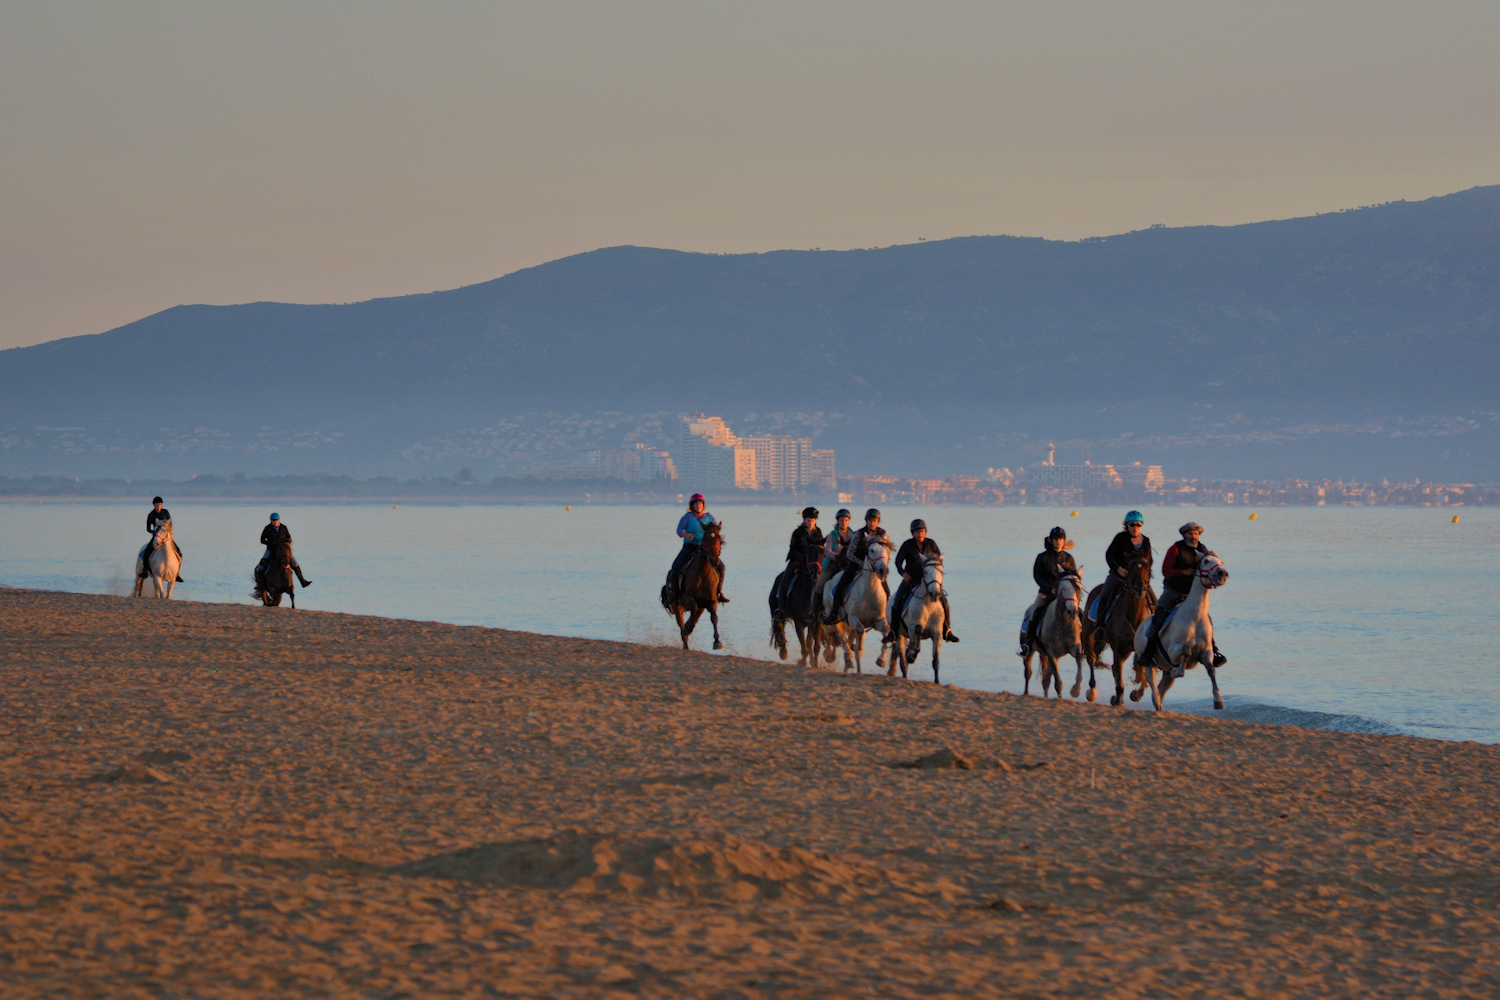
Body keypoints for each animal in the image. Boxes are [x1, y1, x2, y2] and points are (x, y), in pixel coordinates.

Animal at [660, 521, 723, 653]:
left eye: (719, 538)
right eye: (706, 538)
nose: (714, 560)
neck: (703, 573)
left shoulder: (711, 601)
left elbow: (714, 617)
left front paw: (717, 642)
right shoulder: (686, 598)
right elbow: (693, 609)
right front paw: (687, 628)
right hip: (676, 605)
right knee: (681, 624)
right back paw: (686, 642)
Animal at [822, 536, 888, 677]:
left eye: (887, 550)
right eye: (872, 550)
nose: (883, 570)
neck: (869, 592)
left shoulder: (878, 621)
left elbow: (886, 632)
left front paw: (881, 660)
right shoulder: (853, 618)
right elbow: (860, 632)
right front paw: (855, 649)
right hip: (834, 617)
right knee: (841, 637)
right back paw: (848, 658)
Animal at [876, 551, 948, 683]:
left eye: (941, 571)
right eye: (925, 571)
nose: (935, 593)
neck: (929, 605)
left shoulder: (937, 633)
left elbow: (936, 660)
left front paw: (937, 681)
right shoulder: (912, 627)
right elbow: (918, 631)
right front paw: (911, 656)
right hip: (899, 635)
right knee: (902, 658)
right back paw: (906, 668)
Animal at [1086, 560, 1152, 707]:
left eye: (1147, 570)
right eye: (1131, 569)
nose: (1140, 589)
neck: (1133, 616)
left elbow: (1141, 672)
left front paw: (1136, 694)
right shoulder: (1118, 649)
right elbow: (1119, 670)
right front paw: (1117, 699)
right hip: (1087, 635)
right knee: (1091, 659)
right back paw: (1092, 691)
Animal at [1134, 554, 1230, 710]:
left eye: (1221, 562)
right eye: (1206, 561)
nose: (1223, 573)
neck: (1195, 617)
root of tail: (1140, 627)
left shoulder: (1206, 652)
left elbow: (1211, 670)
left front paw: (1218, 700)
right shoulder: (1174, 652)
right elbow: (1186, 652)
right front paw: (1176, 670)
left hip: (1164, 672)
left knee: (1160, 691)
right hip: (1149, 665)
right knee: (1155, 691)